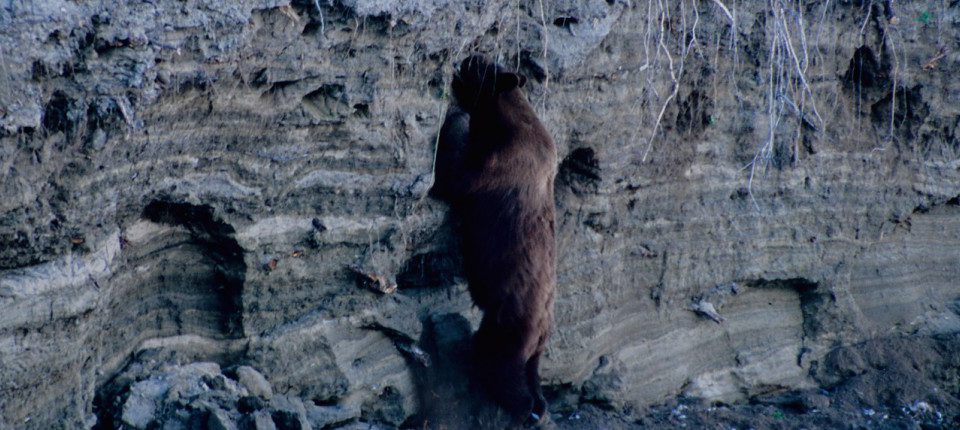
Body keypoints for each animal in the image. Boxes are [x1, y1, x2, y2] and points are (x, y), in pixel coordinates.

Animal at [434, 54, 560, 424]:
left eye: (478, 67)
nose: (466, 57)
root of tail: (543, 329)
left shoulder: (501, 162)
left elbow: (455, 176)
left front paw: (455, 119)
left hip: (511, 323)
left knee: (501, 366)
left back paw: (520, 407)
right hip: (524, 337)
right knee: (525, 372)